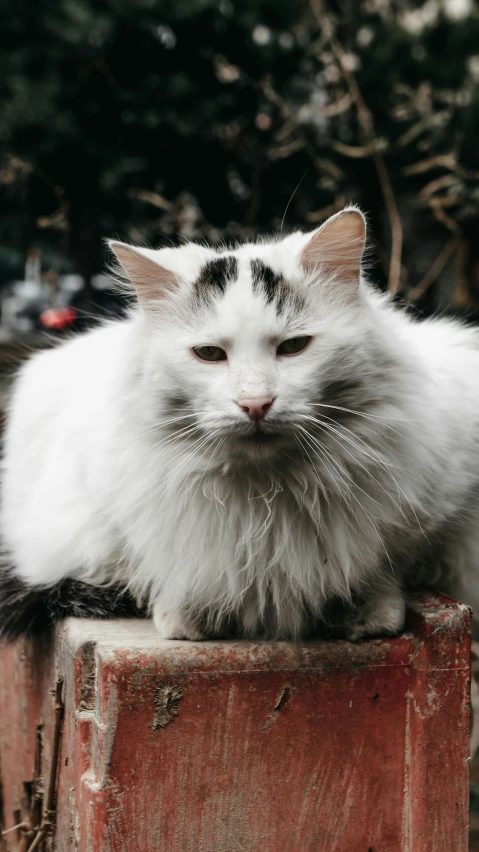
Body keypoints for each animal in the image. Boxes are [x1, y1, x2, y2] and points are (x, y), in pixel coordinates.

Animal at [0, 210, 479, 640]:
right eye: (210, 354)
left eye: (293, 347)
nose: (255, 404)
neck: (267, 497)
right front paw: (187, 618)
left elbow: (386, 565)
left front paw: (370, 615)